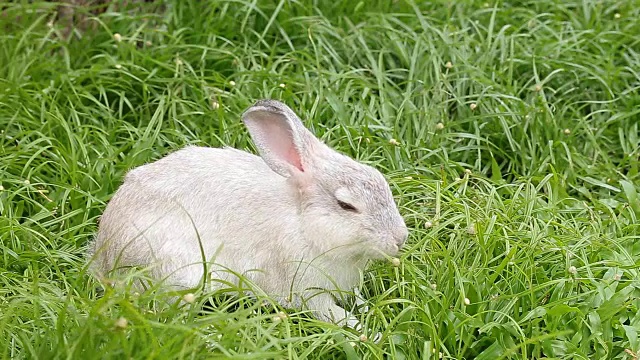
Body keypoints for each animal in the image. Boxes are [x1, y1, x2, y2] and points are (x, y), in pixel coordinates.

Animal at [87, 97, 408, 334]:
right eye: (346, 205)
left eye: (380, 179)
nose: (400, 238)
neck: (305, 224)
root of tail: (104, 254)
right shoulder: (306, 290)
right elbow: (334, 314)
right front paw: (372, 335)